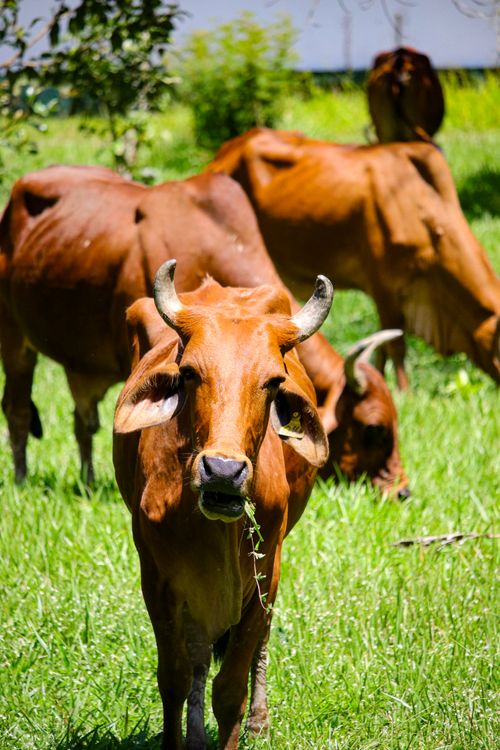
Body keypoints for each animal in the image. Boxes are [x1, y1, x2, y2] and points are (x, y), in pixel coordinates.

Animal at [0, 164, 408, 496]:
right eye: (373, 429)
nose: (402, 492)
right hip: (15, 340)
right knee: (18, 411)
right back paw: (21, 481)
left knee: (82, 422)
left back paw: (86, 482)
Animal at [112, 259, 333, 749]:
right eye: (191, 372)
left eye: (273, 380)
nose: (223, 471)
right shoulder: (157, 580)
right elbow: (175, 677)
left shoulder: (265, 573)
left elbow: (229, 688)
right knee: (196, 657)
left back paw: (259, 721)